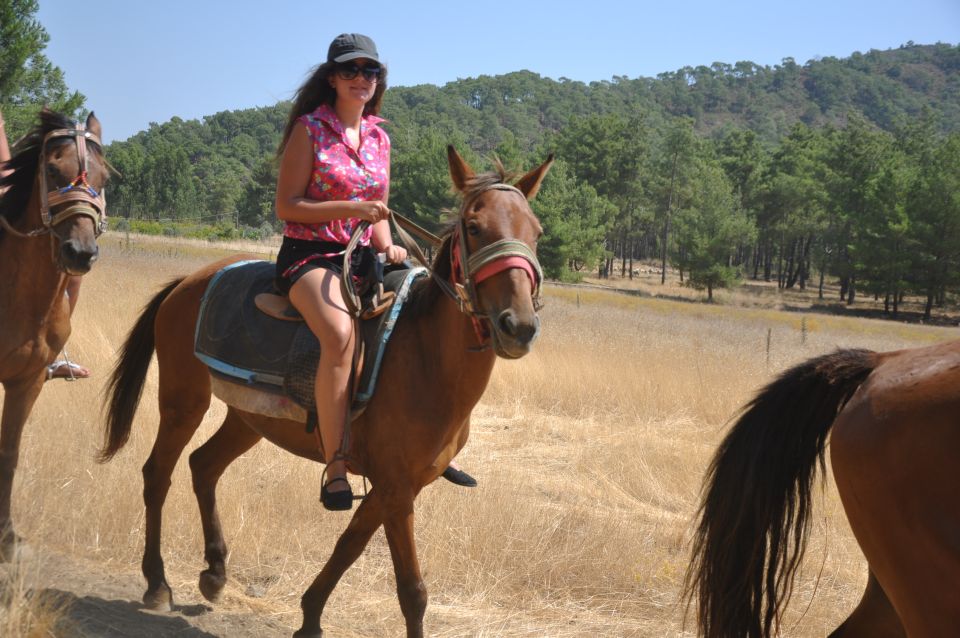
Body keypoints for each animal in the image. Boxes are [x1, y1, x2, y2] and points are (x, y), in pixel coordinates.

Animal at [100, 148, 552, 636]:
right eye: (473, 226)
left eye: (536, 232)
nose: (518, 326)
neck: (424, 357)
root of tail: (189, 281)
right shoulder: (396, 489)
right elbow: (412, 591)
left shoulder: (395, 487)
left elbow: (348, 545)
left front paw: (311, 616)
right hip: (184, 401)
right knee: (157, 474)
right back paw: (157, 582)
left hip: (248, 420)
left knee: (203, 466)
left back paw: (215, 573)